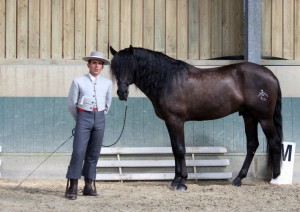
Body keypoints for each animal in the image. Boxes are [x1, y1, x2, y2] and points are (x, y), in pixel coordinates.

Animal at [109, 45, 282, 190]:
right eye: (116, 69)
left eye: (130, 66)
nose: (122, 93)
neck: (168, 79)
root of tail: (271, 75)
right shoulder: (169, 122)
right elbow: (174, 149)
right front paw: (175, 181)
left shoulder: (177, 121)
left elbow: (180, 149)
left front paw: (182, 182)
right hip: (249, 116)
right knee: (252, 144)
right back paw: (238, 179)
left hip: (264, 118)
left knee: (274, 142)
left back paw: (276, 178)